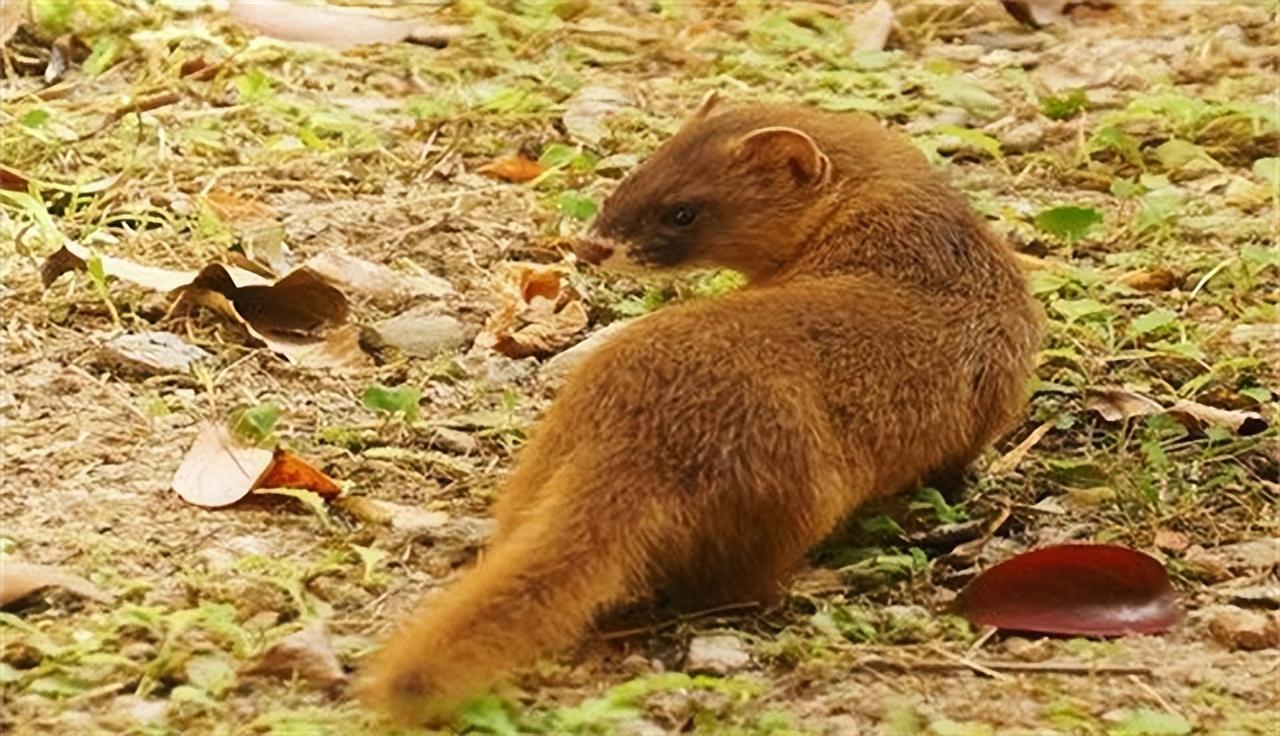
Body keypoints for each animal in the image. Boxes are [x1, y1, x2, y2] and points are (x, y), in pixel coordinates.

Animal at [358, 94, 1039, 721]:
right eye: (637, 173)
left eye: (682, 209)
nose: (589, 246)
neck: (923, 243)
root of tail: (635, 436)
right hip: (800, 490)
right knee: (737, 586)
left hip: (544, 457)